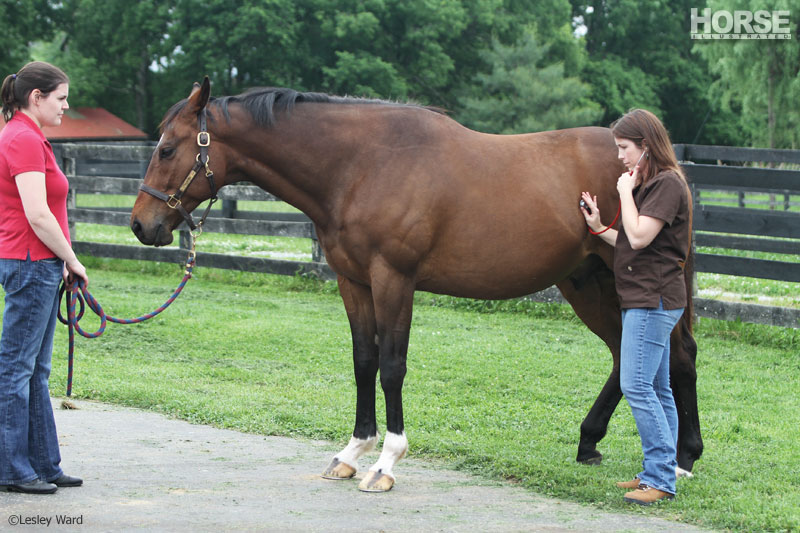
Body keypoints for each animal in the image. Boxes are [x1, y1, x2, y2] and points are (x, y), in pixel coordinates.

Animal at [130, 78, 700, 490]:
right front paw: (351, 453)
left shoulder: (393, 280)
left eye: (167, 148)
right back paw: (589, 443)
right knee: (623, 354)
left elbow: (391, 367)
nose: (141, 225)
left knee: (679, 353)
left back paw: (683, 460)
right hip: (586, 283)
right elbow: (363, 361)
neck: (361, 165)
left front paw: (386, 462)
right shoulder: (354, 282)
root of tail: (664, 163)